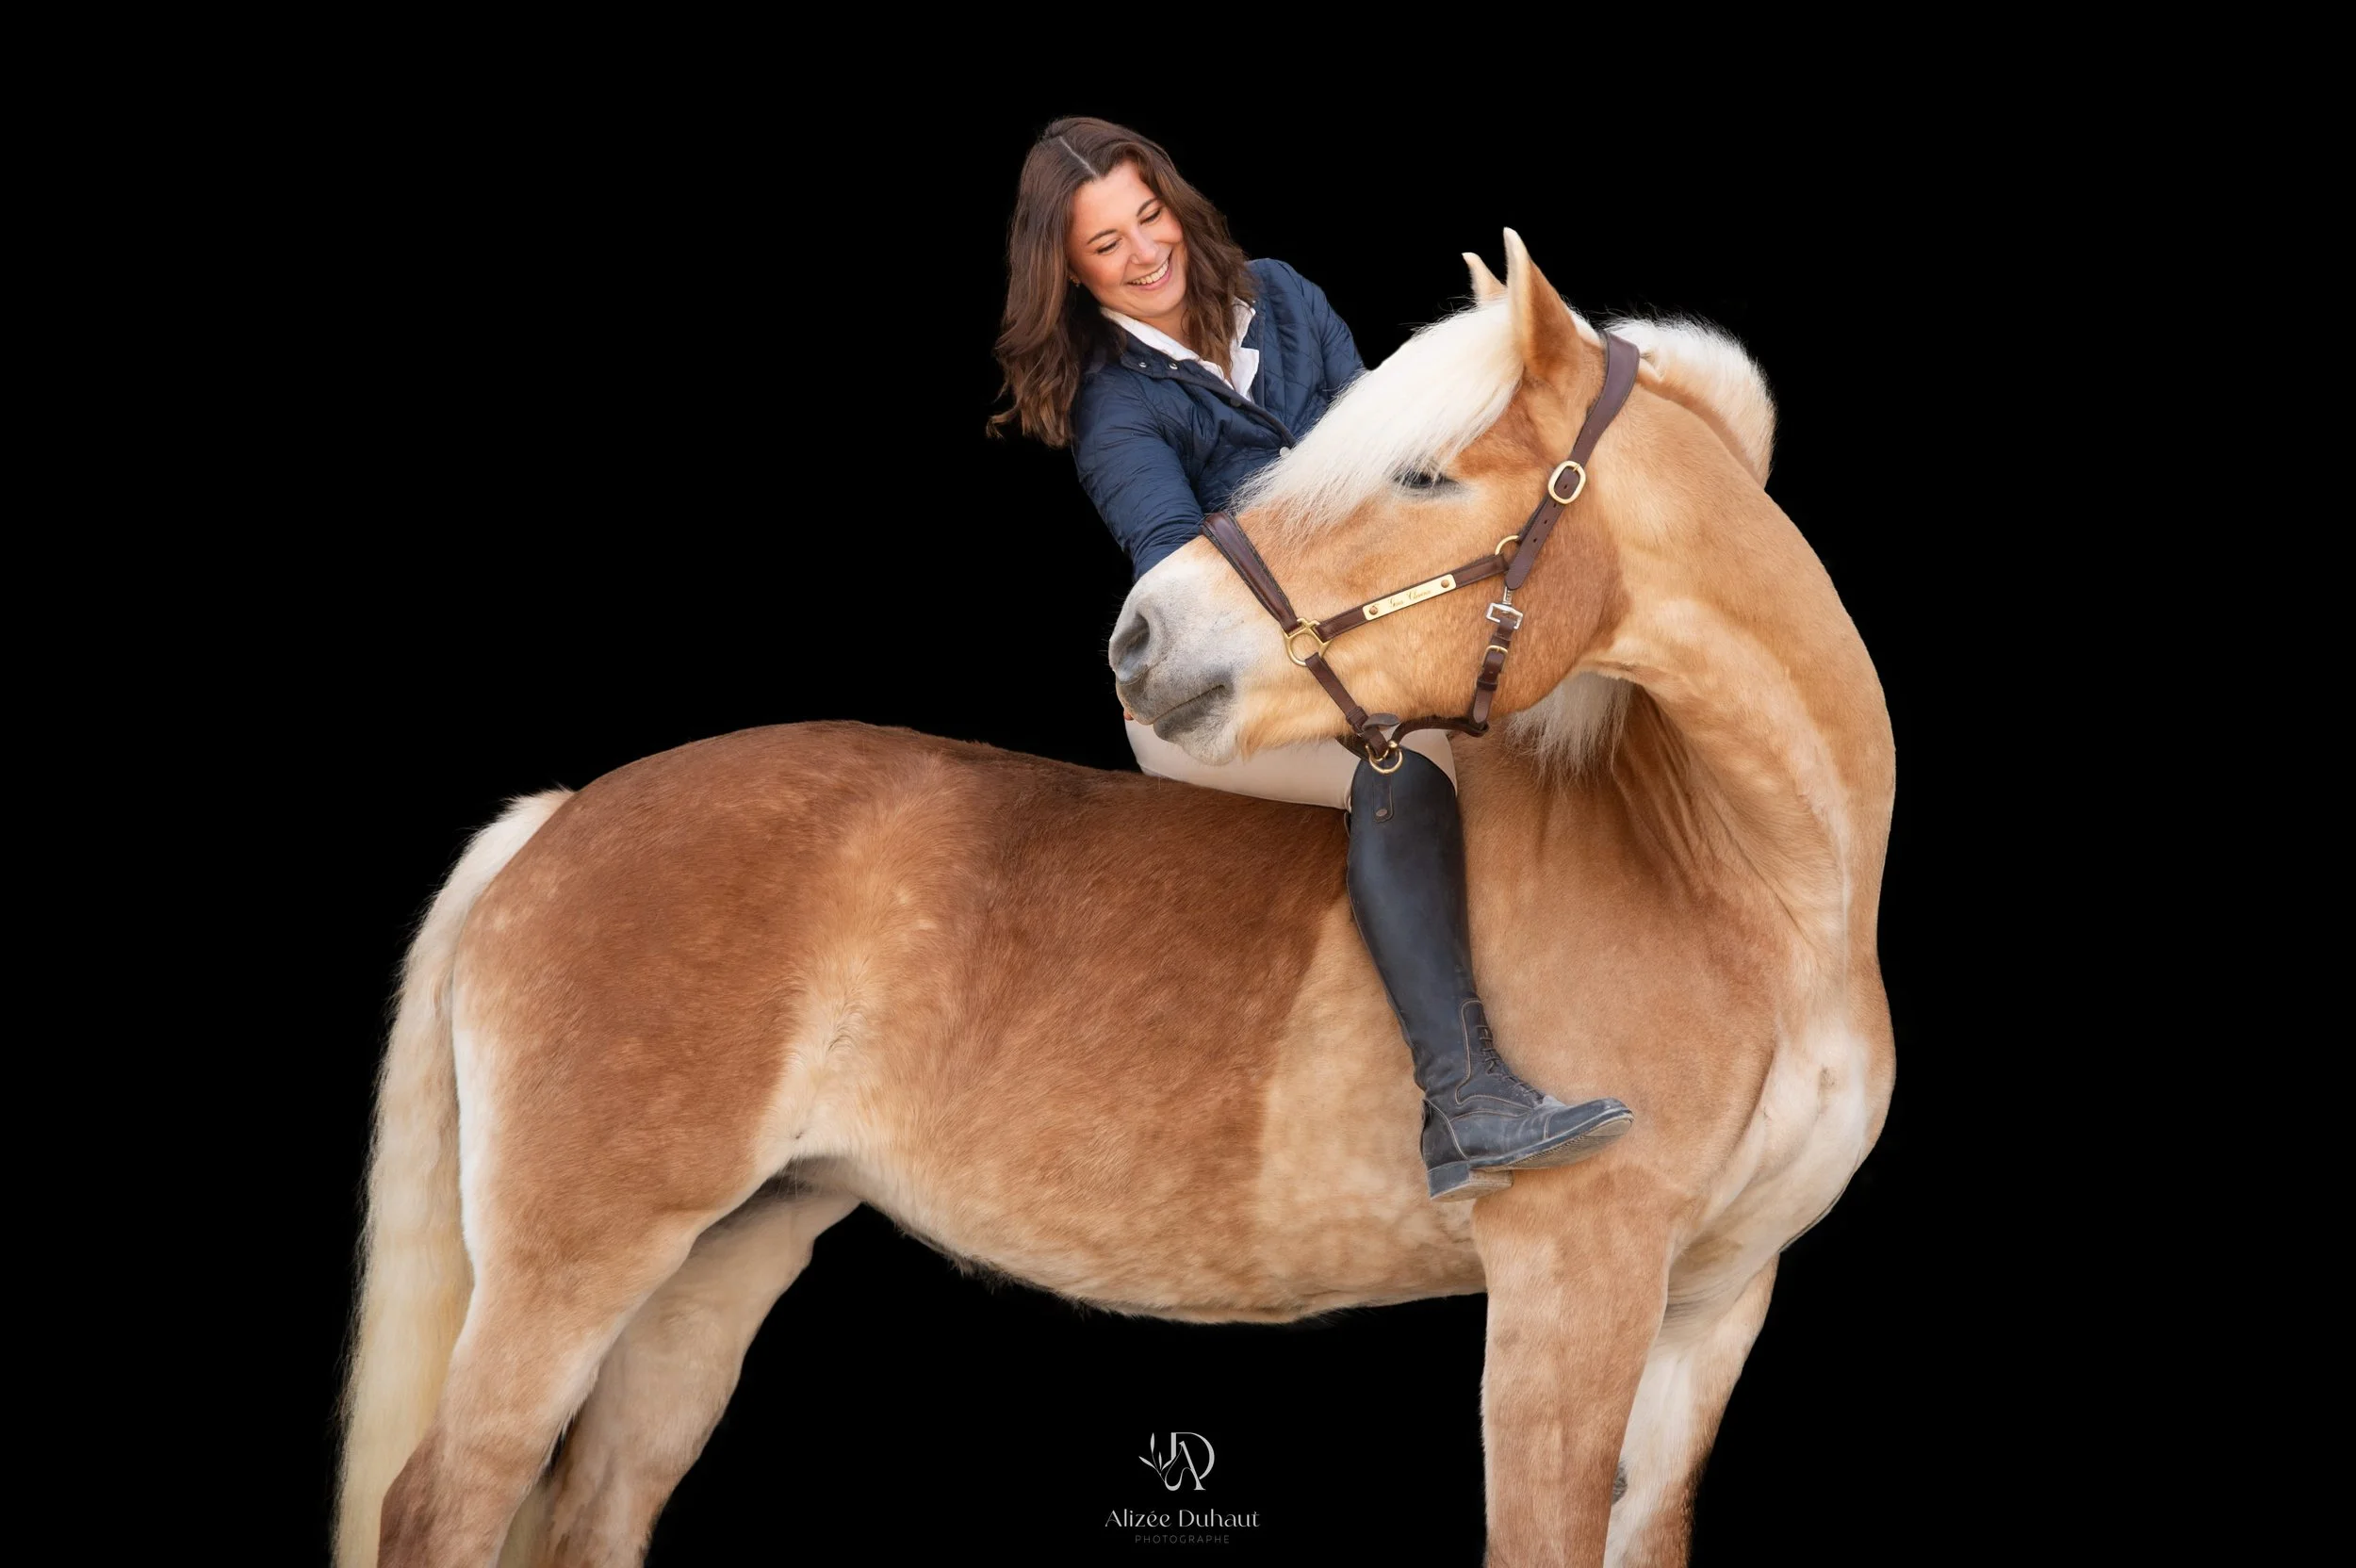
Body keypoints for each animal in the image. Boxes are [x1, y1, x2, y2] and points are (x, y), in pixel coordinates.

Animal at [337, 230, 1895, 1568]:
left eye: (1423, 479)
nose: (1145, 639)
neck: (1731, 875)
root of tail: (558, 819)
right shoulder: (1572, 1292)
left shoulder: (1711, 1309)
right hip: (574, 1266)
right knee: (445, 1503)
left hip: (721, 1262)